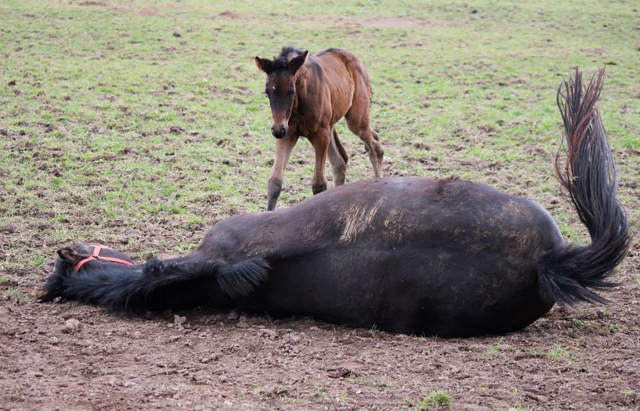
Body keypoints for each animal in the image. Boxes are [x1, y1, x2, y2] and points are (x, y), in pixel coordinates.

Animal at [255, 46, 384, 211]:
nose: (277, 130)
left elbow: (319, 184)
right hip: (330, 125)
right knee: (340, 161)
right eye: (267, 92)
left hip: (356, 120)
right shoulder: (288, 134)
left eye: (291, 91)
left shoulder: (320, 135)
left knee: (375, 145)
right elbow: (275, 182)